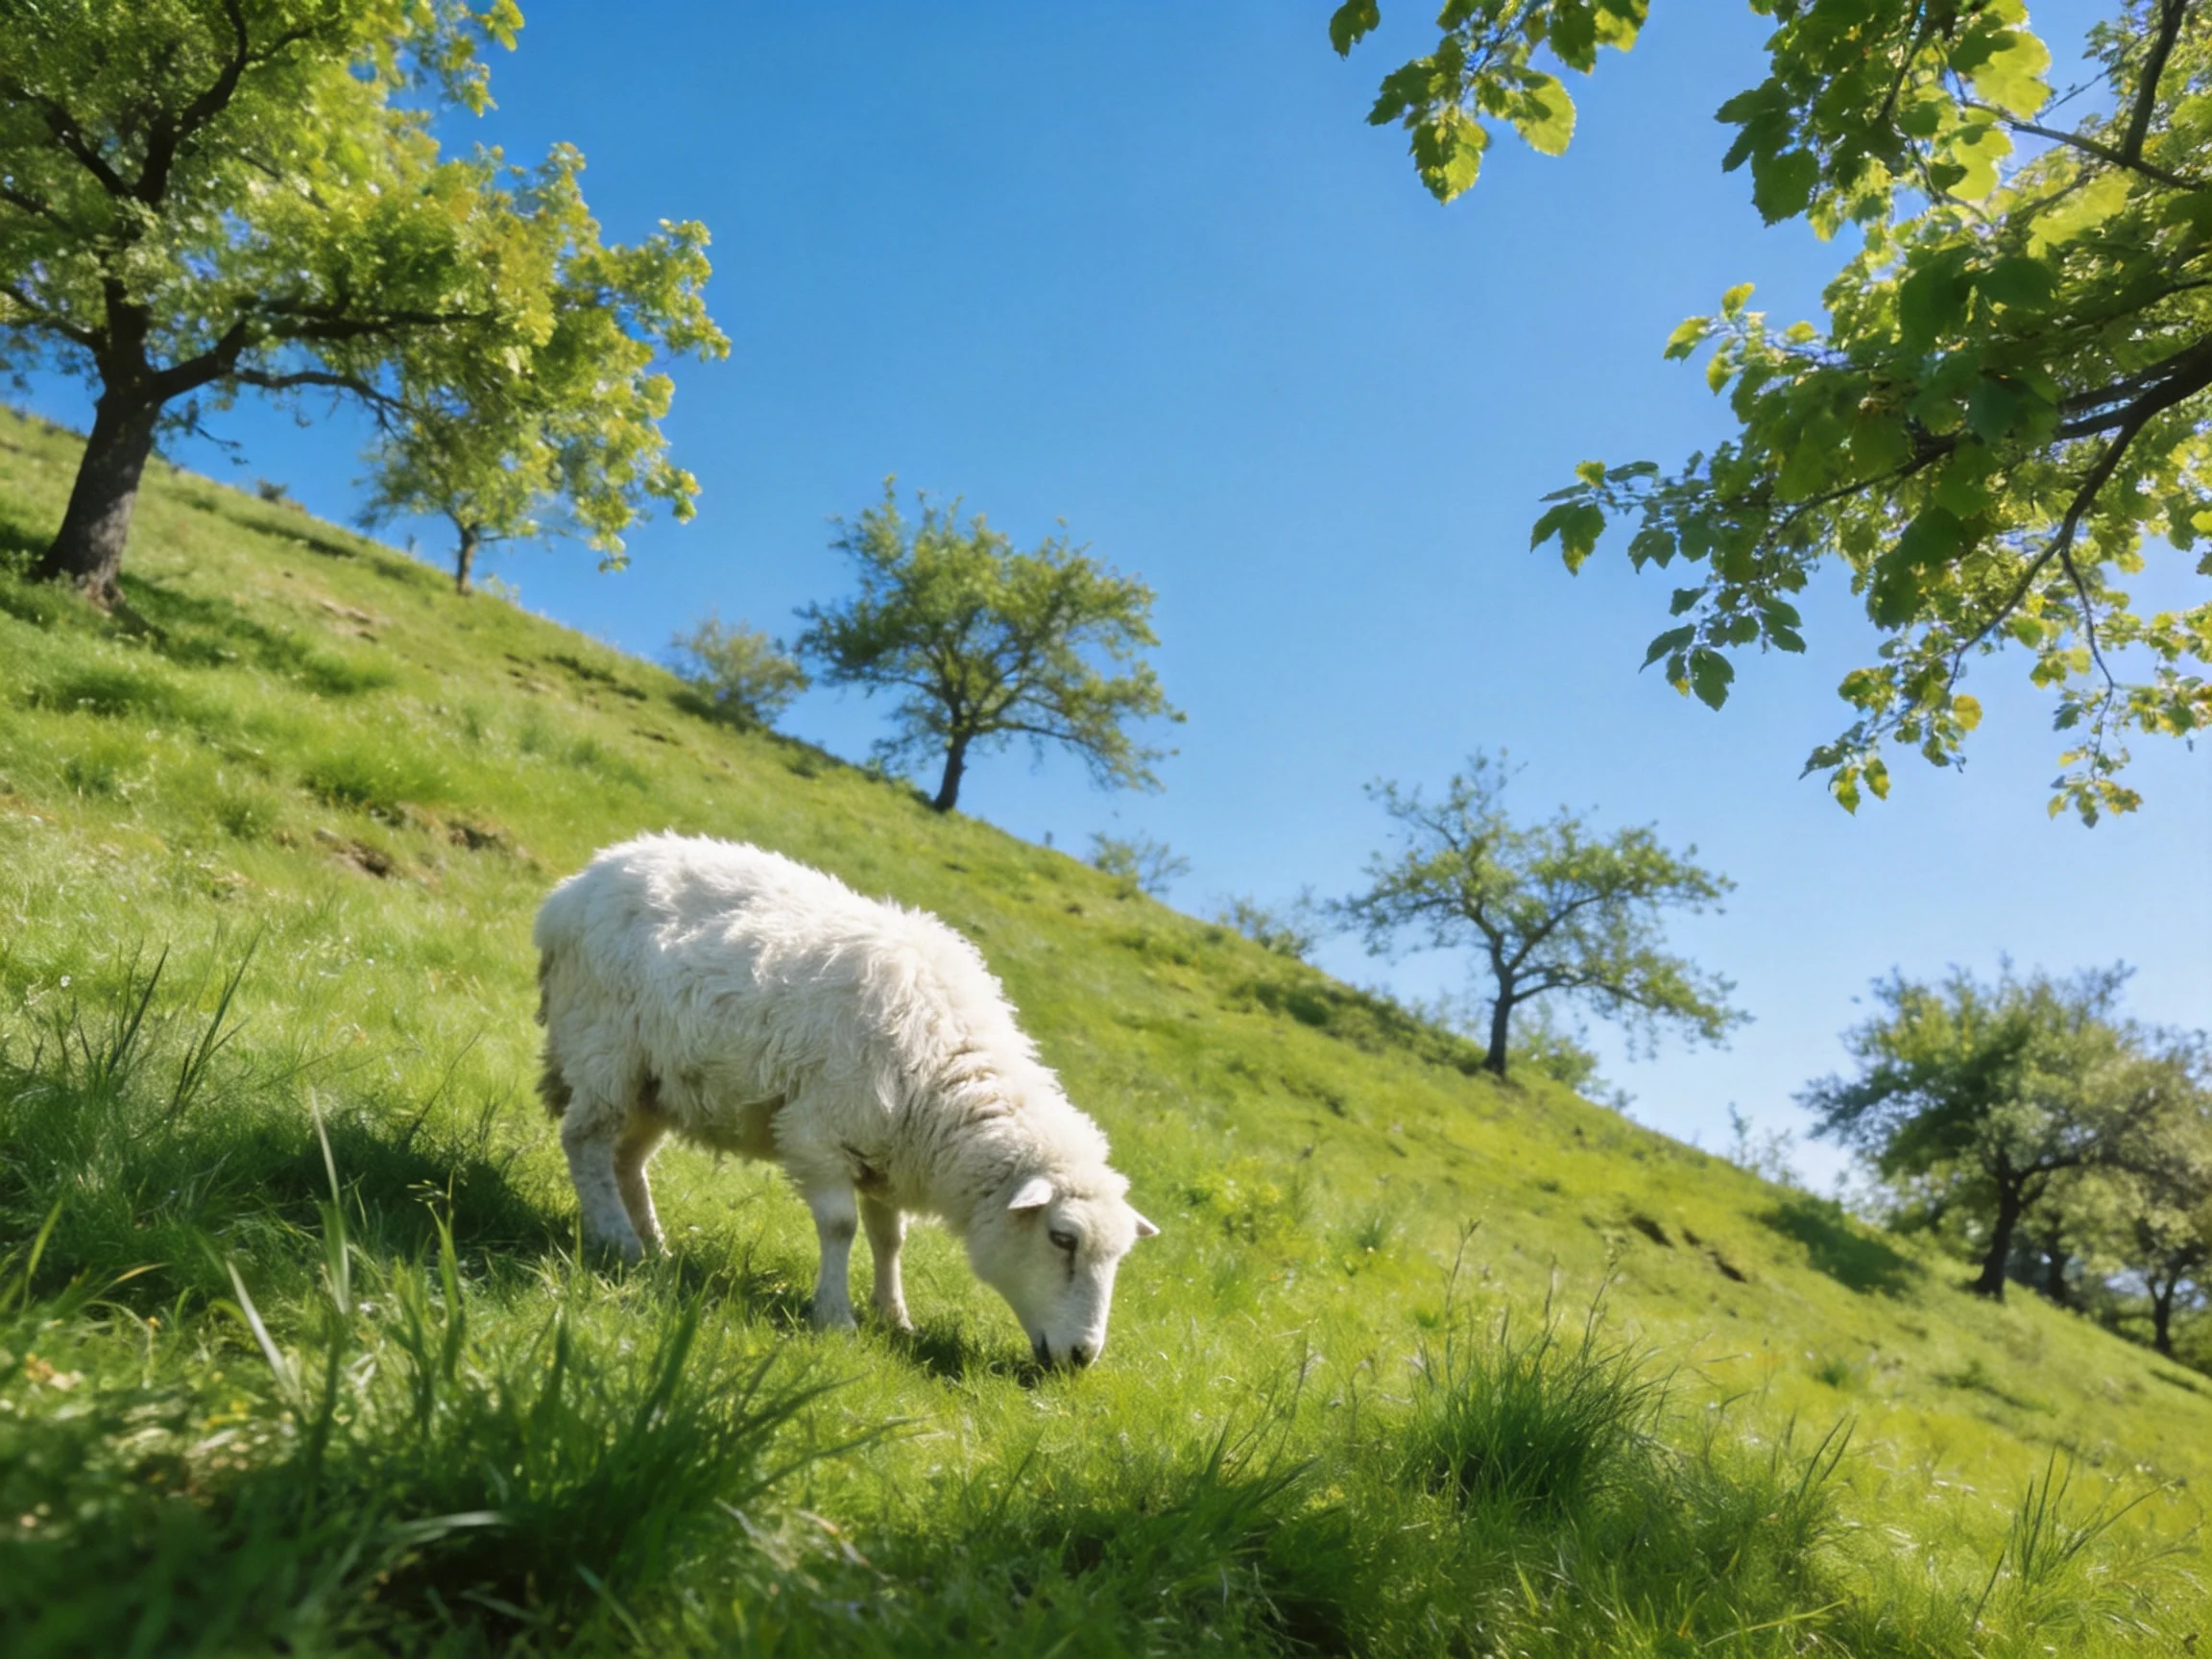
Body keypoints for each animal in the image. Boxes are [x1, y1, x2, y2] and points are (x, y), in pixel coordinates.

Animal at [533, 832, 1157, 1368]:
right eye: (1062, 1238)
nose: (1082, 1358)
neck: (946, 1072)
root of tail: (575, 887)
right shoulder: (819, 1133)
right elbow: (840, 1226)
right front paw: (836, 1316)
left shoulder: (889, 1153)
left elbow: (889, 1238)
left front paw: (895, 1315)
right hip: (605, 1044)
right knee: (586, 1140)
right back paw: (620, 1243)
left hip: (657, 1082)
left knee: (627, 1159)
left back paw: (655, 1246)